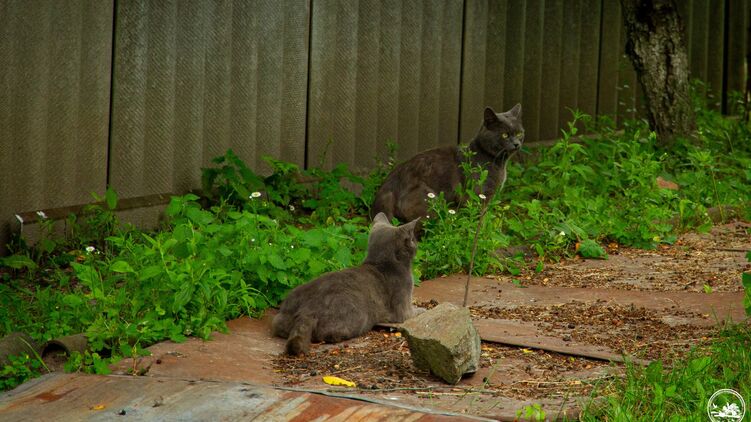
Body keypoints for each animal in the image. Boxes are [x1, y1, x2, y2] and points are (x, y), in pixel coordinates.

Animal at [271, 212, 421, 355]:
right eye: (412, 239)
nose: (417, 244)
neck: (381, 263)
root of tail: (306, 310)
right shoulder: (403, 310)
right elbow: (415, 312)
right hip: (356, 316)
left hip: (283, 312)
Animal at [371, 104, 524, 223]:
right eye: (505, 135)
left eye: (519, 133)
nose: (516, 144)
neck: (498, 162)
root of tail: (389, 186)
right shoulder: (478, 196)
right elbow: (477, 220)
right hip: (430, 203)